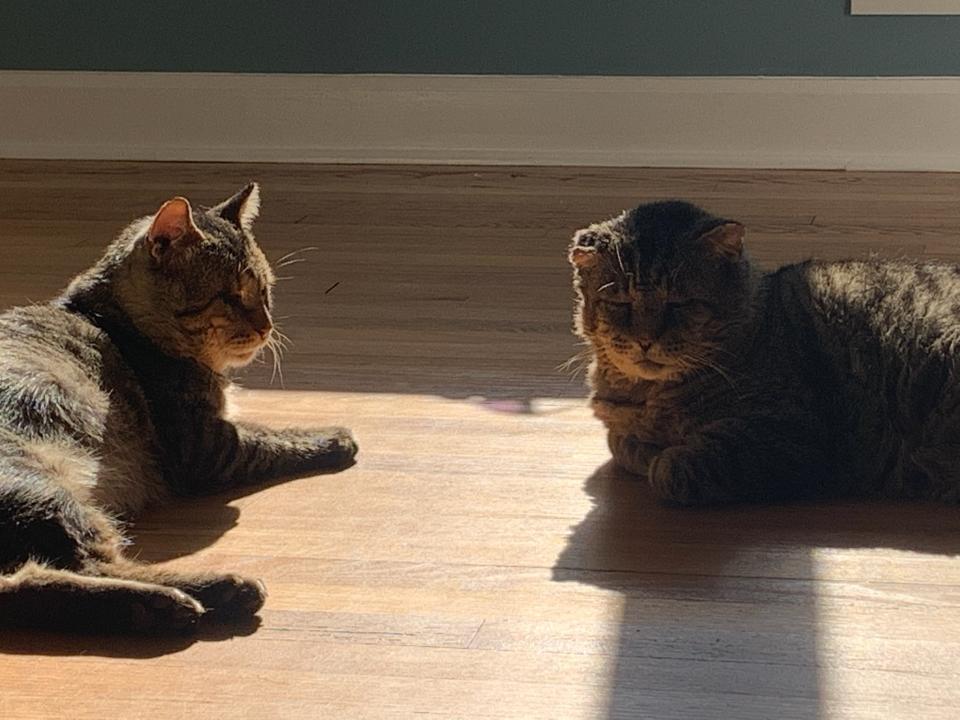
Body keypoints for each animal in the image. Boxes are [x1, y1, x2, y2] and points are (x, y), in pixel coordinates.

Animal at [568, 200, 960, 506]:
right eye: (620, 303)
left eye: (679, 303)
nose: (646, 340)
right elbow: (619, 441)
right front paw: (643, 445)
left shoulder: (792, 433)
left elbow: (670, 468)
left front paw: (660, 457)